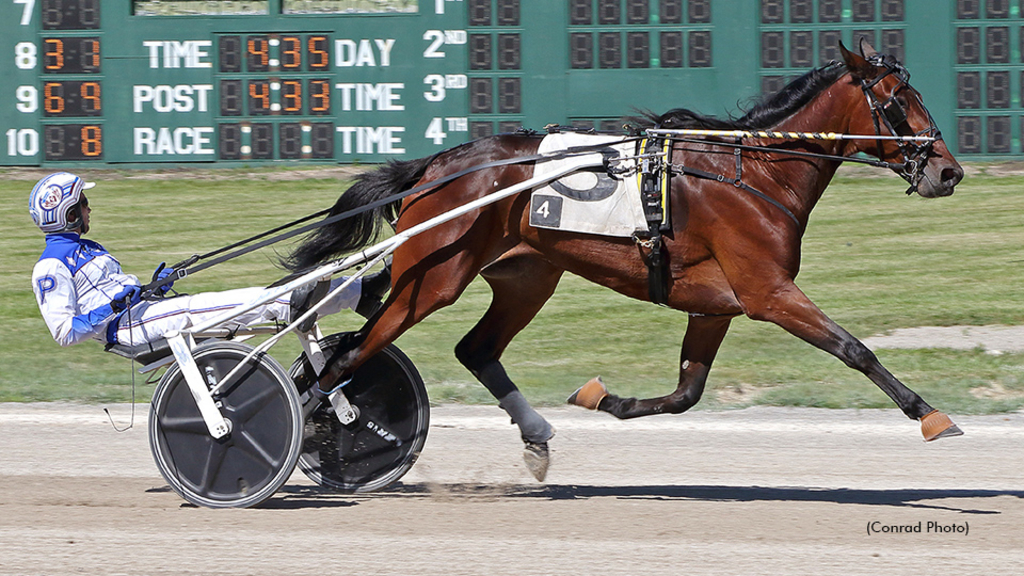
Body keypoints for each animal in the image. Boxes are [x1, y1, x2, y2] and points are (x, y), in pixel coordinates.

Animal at [286, 42, 958, 477]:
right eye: (898, 101)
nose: (948, 171)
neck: (754, 174)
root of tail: (435, 165)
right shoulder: (767, 293)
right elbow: (854, 348)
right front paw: (930, 415)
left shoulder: (716, 306)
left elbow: (687, 392)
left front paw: (602, 399)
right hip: (432, 279)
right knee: (348, 356)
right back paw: (314, 429)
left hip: (526, 276)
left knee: (472, 348)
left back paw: (536, 439)